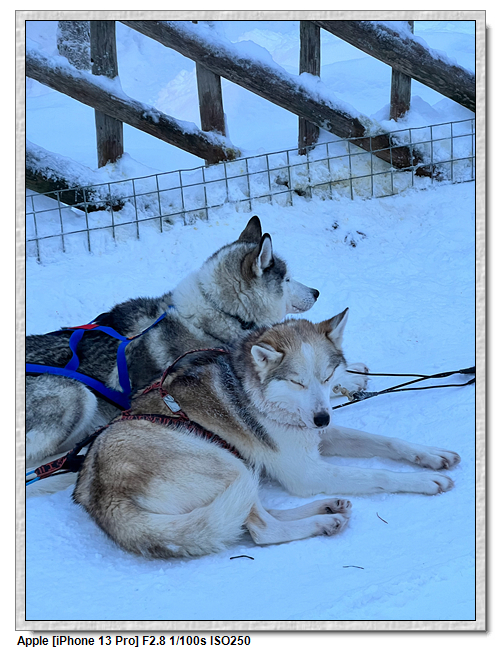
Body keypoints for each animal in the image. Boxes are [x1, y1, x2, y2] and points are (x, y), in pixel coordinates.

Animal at [73, 311, 460, 559]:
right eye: (297, 381)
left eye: (326, 377)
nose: (322, 417)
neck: (261, 396)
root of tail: (99, 493)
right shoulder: (307, 471)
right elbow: (378, 474)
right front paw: (423, 482)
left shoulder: (319, 437)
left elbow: (387, 442)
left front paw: (431, 456)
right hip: (226, 463)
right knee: (261, 529)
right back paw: (323, 520)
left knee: (259, 514)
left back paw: (326, 506)